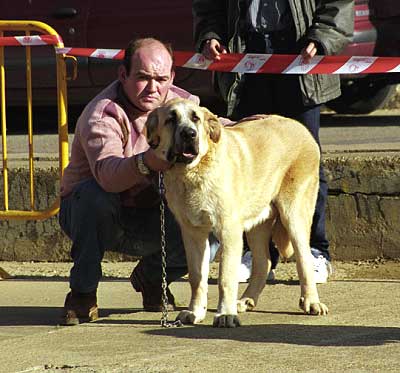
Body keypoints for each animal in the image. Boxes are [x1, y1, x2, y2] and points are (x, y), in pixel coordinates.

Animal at [146, 97, 328, 326]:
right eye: (171, 119)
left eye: (196, 118)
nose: (189, 134)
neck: (193, 172)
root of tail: (301, 128)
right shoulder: (193, 233)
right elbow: (196, 278)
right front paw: (195, 312)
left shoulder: (229, 231)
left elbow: (225, 277)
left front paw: (225, 314)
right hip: (257, 223)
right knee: (264, 262)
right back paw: (246, 300)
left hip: (294, 216)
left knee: (304, 260)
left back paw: (312, 302)